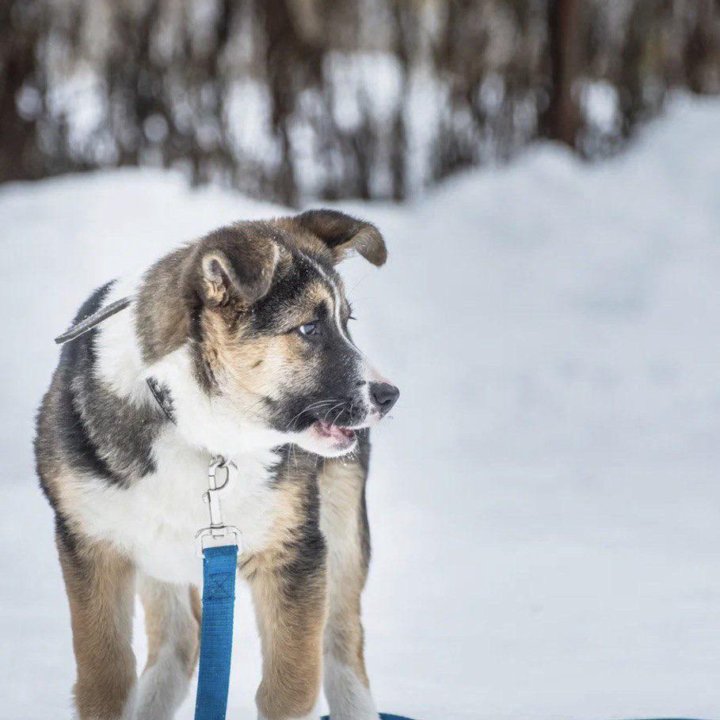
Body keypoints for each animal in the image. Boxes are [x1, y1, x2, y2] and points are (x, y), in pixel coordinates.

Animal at [35, 211, 400, 720]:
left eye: (348, 324)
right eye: (310, 328)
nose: (390, 396)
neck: (195, 430)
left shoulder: (296, 552)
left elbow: (290, 688)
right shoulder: (91, 547)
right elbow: (105, 680)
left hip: (343, 530)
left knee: (342, 644)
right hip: (156, 553)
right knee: (179, 641)